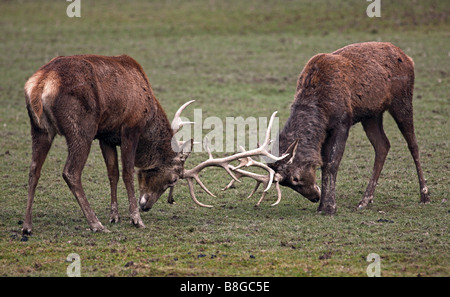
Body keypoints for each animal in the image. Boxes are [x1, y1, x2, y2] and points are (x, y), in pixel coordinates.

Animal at [22, 54, 195, 232]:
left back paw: (27, 225)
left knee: (34, 169)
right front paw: (136, 219)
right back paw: (96, 224)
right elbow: (127, 173)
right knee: (70, 172)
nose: (146, 207)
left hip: (40, 129)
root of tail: (41, 83)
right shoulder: (130, 129)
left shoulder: (106, 136)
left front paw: (115, 217)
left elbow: (113, 173)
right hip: (82, 129)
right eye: (174, 179)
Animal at [266, 41, 430, 213]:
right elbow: (324, 164)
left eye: (295, 178)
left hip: (402, 99)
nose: (314, 197)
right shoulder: (326, 130)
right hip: (371, 114)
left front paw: (330, 208)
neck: (320, 106)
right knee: (383, 145)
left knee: (413, 144)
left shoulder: (343, 121)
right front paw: (322, 206)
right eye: (285, 183)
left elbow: (332, 163)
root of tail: (408, 58)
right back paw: (365, 199)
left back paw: (424, 195)